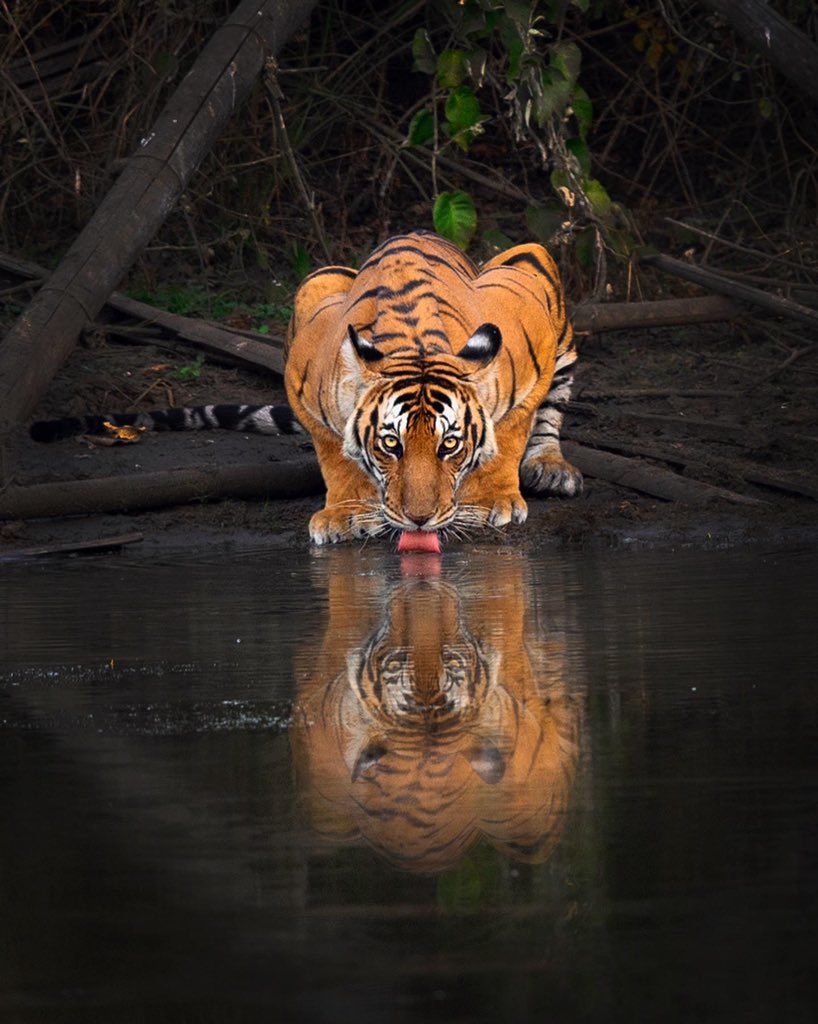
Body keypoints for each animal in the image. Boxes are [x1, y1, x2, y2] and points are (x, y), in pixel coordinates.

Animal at [284, 228, 582, 545]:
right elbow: (336, 456)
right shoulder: (301, 379)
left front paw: (489, 501)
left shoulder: (533, 346)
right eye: (390, 443)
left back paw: (551, 469)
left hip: (531, 258)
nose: (419, 519)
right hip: (318, 280)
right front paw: (345, 513)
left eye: (450, 444)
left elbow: (507, 435)